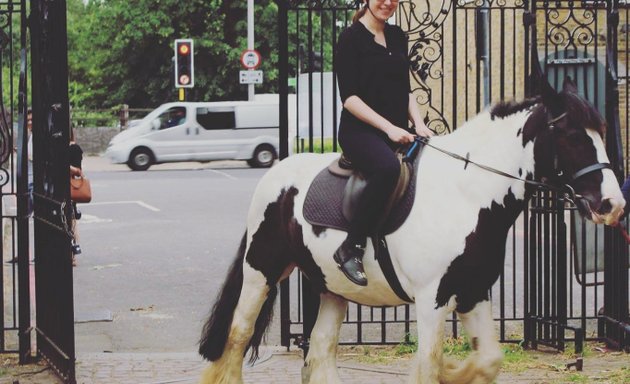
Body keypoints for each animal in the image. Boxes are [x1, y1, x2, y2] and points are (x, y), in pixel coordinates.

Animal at [198, 79, 628, 384]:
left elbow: (488, 360)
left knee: (319, 350)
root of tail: (275, 176)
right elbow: (429, 366)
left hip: (331, 288)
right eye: (571, 135)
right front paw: (449, 369)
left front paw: (457, 371)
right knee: (238, 335)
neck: (466, 193)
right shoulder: (432, 300)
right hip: (261, 272)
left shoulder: (472, 292)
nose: (612, 205)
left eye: (602, 131)